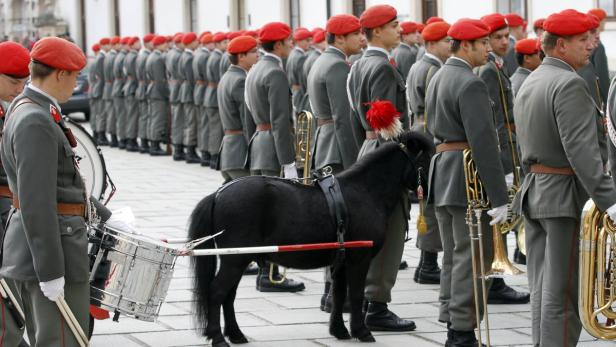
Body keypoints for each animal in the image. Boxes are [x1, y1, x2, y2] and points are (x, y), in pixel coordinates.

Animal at [188, 132, 434, 346]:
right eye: (427, 158)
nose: (432, 196)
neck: (365, 191)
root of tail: (218, 194)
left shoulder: (341, 262)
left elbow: (338, 294)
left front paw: (339, 331)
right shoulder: (359, 259)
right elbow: (355, 295)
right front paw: (361, 331)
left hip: (238, 260)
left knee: (228, 296)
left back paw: (236, 334)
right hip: (234, 260)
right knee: (217, 292)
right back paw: (218, 338)